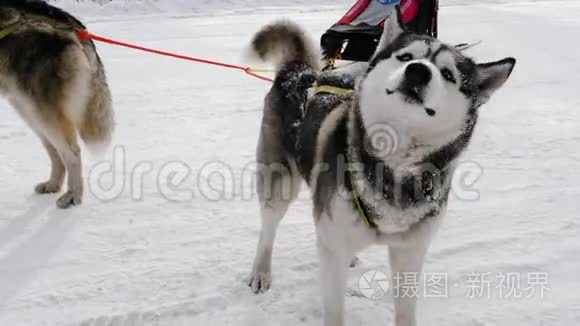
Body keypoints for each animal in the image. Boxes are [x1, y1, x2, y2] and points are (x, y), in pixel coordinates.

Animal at [0, 0, 112, 208]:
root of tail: (71, 23)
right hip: (27, 108)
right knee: (54, 149)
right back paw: (53, 184)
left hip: (39, 109)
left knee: (72, 151)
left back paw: (73, 195)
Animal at [247, 7, 516, 326]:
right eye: (406, 57)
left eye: (448, 74)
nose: (418, 71)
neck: (394, 166)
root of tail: (300, 71)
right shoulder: (334, 248)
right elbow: (334, 309)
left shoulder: (410, 252)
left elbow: (405, 311)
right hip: (280, 184)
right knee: (268, 230)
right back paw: (261, 272)